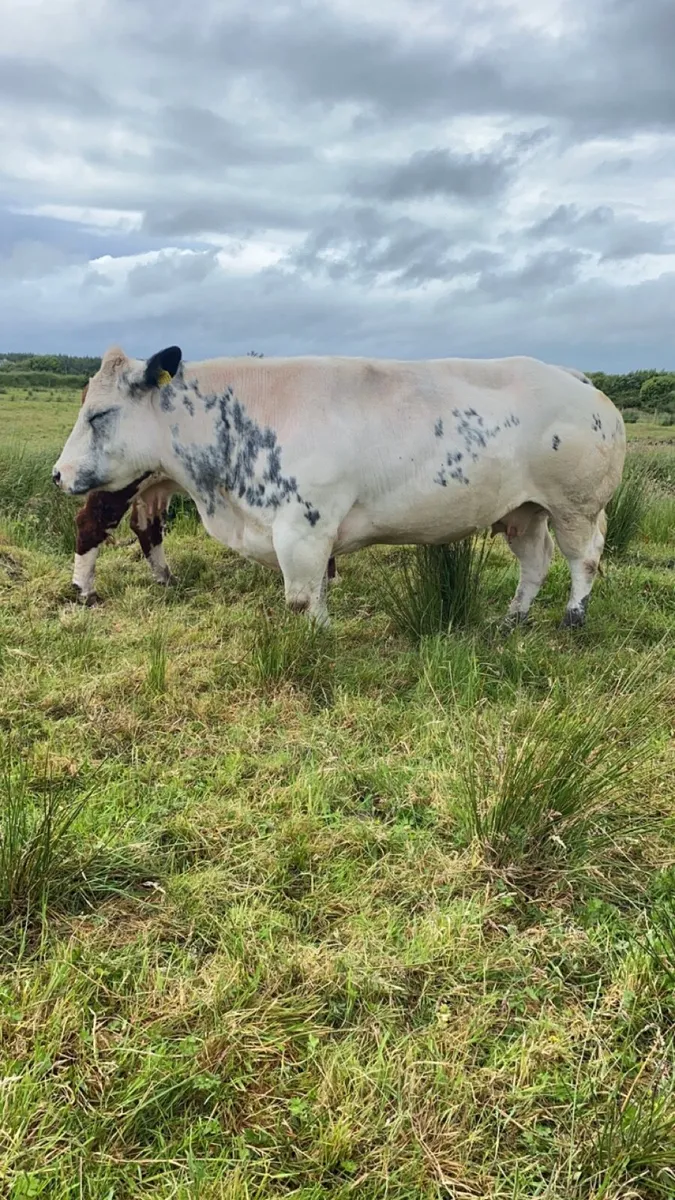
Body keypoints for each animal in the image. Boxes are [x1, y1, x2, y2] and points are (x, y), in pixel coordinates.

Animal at [53, 346, 626, 629]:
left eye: (99, 414)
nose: (58, 473)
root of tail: (578, 379)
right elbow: (316, 592)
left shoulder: (303, 528)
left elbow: (303, 599)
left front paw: (317, 642)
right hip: (524, 510)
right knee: (536, 561)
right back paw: (512, 619)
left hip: (575, 505)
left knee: (585, 557)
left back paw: (572, 618)